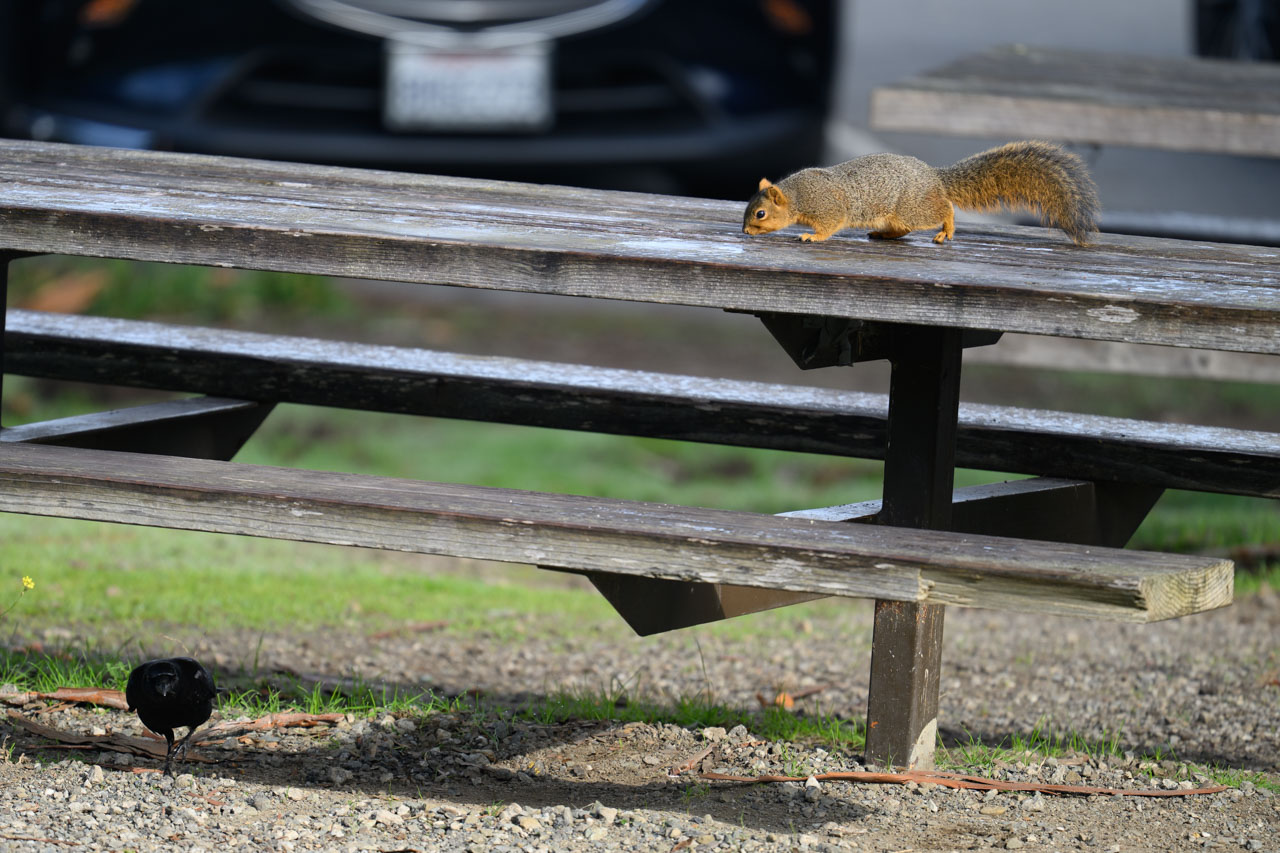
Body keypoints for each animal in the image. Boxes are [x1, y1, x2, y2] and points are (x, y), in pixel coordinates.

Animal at [742, 140, 1099, 246]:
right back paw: (883, 235)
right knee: (903, 230)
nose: (745, 231)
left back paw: (946, 231)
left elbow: (829, 226)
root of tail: (933, 176)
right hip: (899, 215)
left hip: (914, 208)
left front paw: (810, 237)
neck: (798, 196)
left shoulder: (828, 207)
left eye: (760, 213)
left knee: (944, 210)